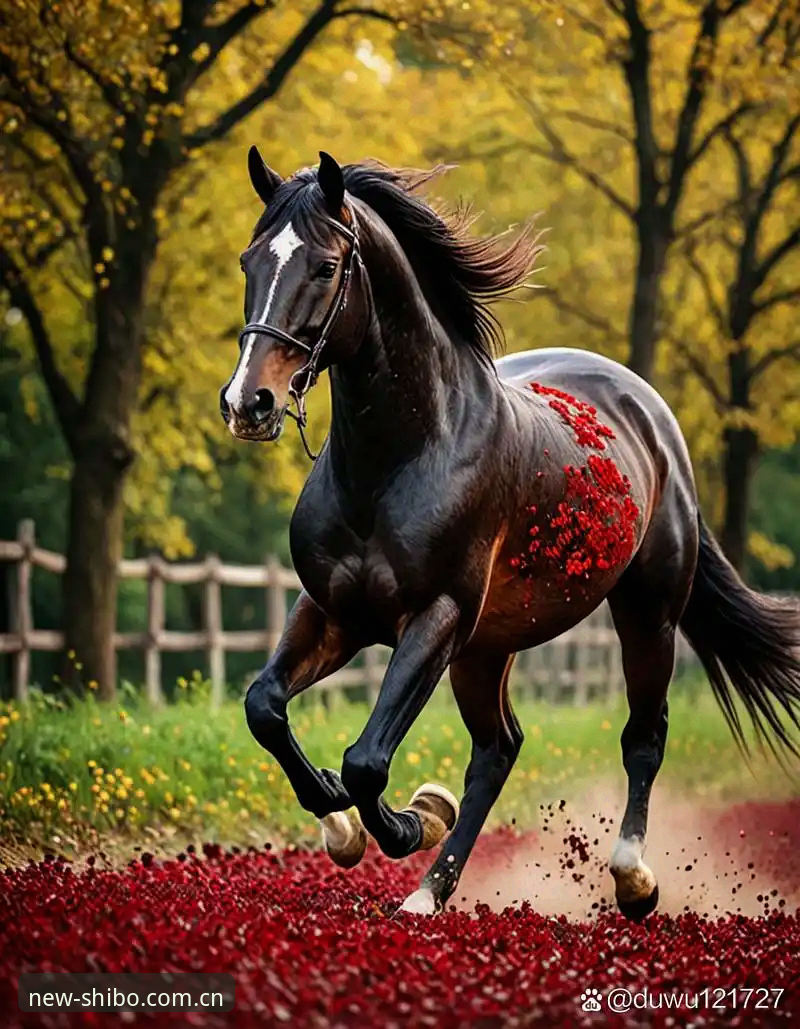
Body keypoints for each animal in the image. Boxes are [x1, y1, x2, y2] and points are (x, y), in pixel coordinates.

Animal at [220, 148, 800, 919]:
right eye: (251, 260)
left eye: (324, 265)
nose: (246, 403)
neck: (398, 460)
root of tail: (651, 416)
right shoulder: (331, 612)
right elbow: (265, 708)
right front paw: (344, 826)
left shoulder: (435, 617)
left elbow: (367, 761)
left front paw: (410, 821)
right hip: (488, 647)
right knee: (498, 751)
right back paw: (428, 892)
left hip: (645, 615)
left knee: (642, 737)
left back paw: (631, 879)